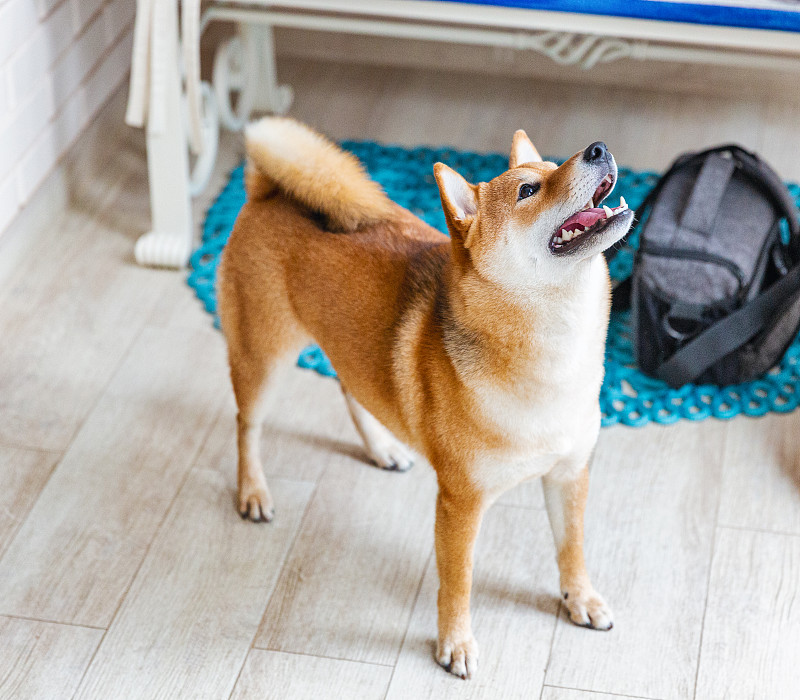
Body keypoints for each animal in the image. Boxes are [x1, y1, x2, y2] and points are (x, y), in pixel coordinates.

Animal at [216, 119, 636, 680]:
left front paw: (580, 598)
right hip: (265, 359)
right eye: (529, 190)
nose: (598, 148)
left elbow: (572, 549)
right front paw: (455, 643)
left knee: (351, 389)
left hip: (348, 350)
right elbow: (458, 582)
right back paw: (254, 491)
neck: (556, 354)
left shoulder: (569, 475)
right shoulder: (462, 502)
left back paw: (382, 448)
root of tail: (267, 192)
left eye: (552, 166)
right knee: (248, 425)